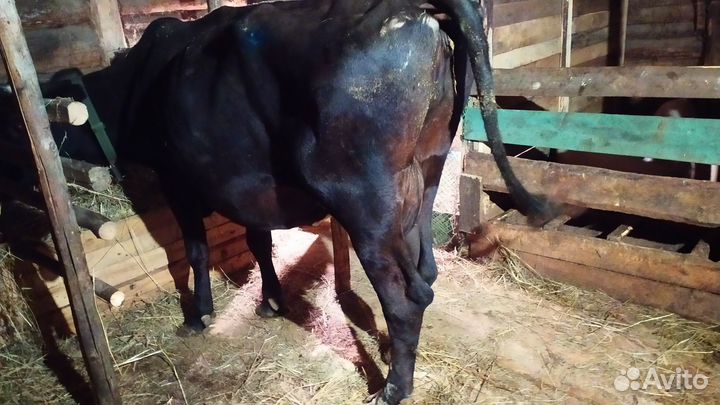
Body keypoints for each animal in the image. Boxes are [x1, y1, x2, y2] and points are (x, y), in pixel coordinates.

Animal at [3, 1, 555, 403]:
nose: (20, 174)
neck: (133, 86)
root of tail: (415, 8)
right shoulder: (250, 186)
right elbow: (259, 241)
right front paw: (270, 300)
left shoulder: (178, 180)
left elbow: (197, 250)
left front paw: (199, 316)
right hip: (428, 172)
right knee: (426, 272)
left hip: (366, 202)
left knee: (405, 298)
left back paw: (394, 389)